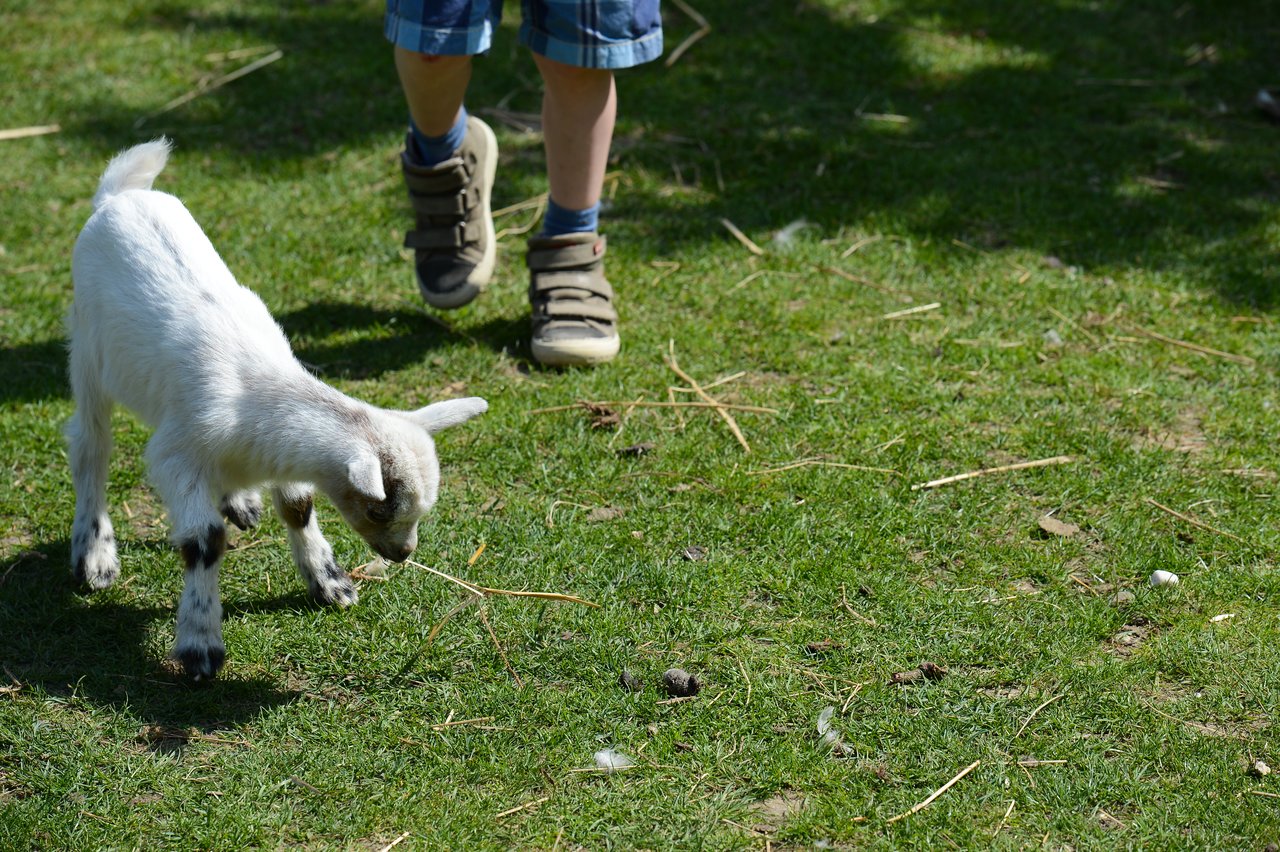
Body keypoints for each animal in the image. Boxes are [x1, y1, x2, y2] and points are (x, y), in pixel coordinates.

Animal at [67, 139, 486, 680]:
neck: (255, 393)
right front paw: (200, 645)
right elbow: (204, 540)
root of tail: (117, 194)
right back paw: (95, 554)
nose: (402, 553)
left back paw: (241, 500)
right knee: (90, 444)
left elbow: (298, 505)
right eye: (377, 510)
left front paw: (329, 582)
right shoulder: (175, 454)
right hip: (87, 350)